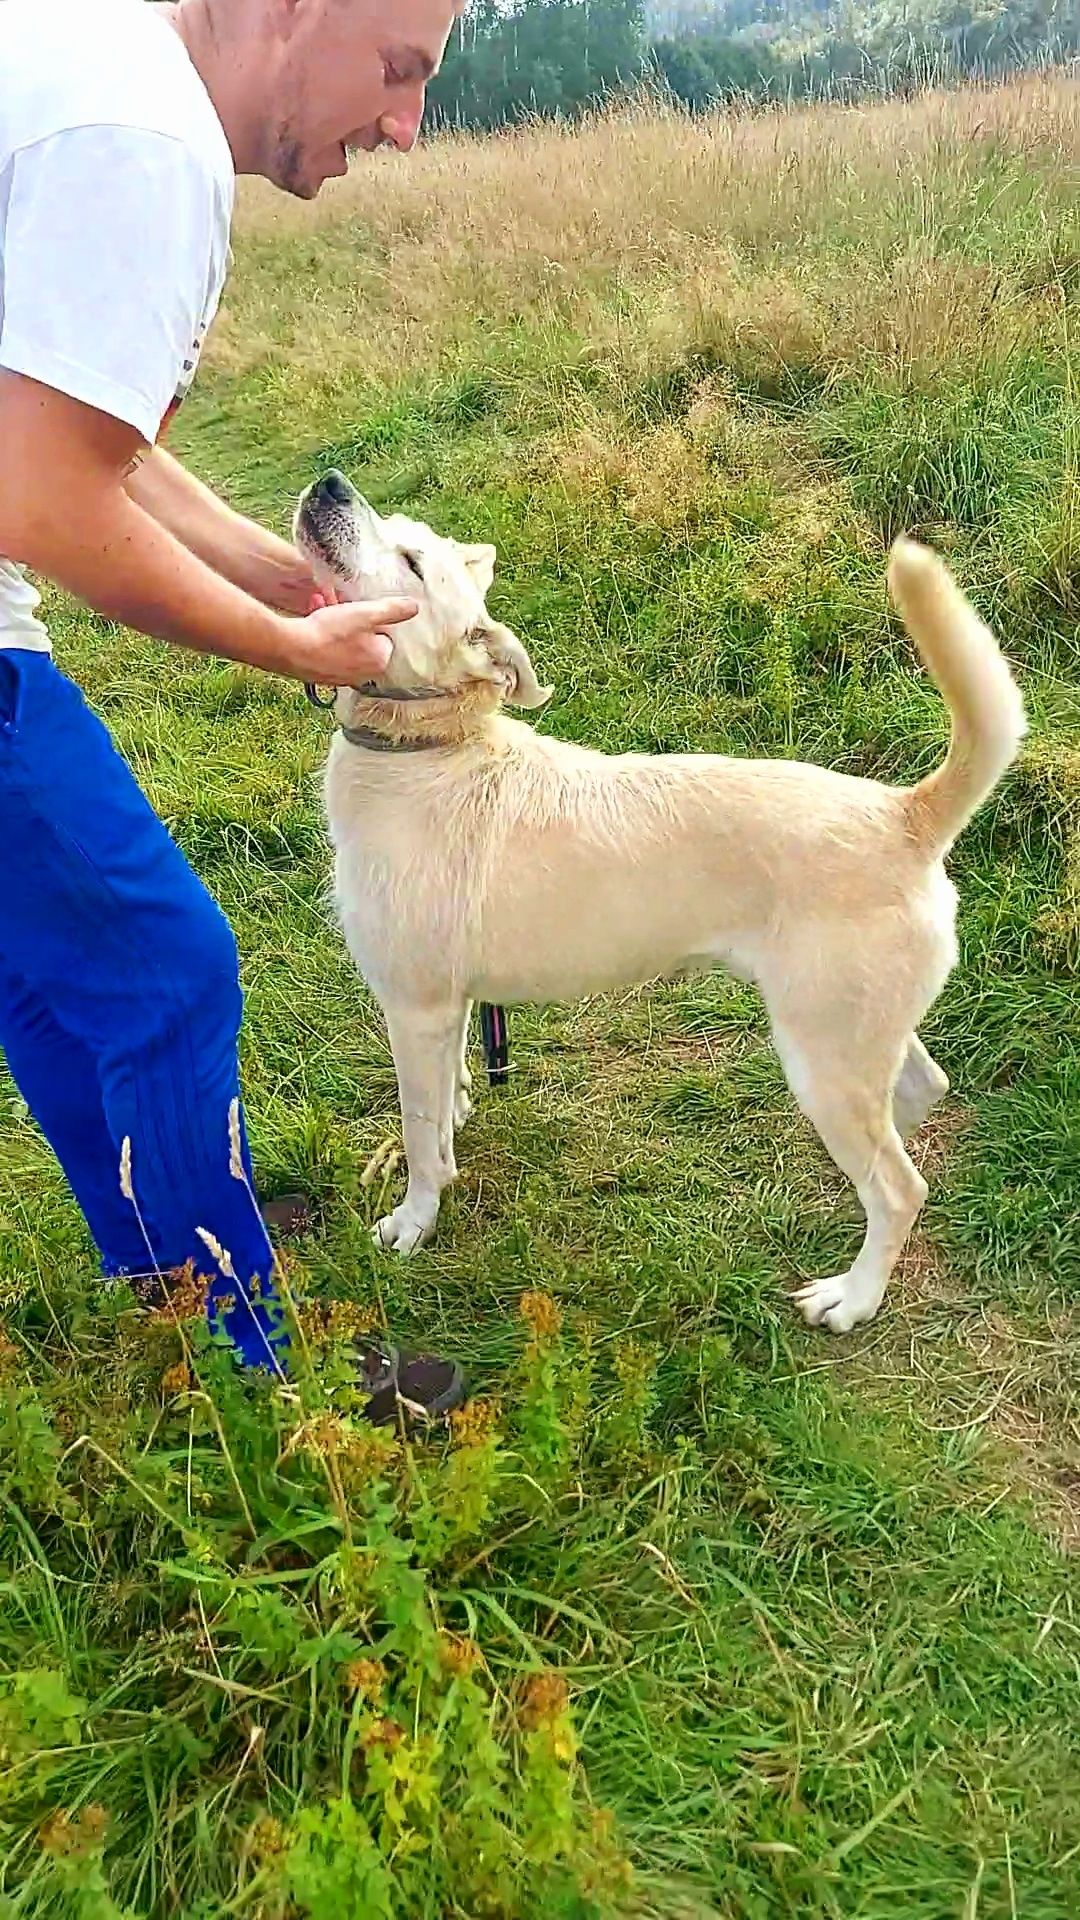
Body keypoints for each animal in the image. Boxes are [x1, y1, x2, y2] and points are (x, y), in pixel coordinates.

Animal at [292, 468, 1014, 1336]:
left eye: (409, 561)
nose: (331, 483)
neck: (430, 743)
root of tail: (903, 813)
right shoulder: (448, 1005)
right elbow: (450, 1093)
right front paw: (458, 1117)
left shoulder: (413, 1006)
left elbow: (419, 1131)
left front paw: (415, 1220)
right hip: (852, 1037)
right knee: (913, 1103)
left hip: (821, 1055)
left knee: (901, 1187)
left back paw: (856, 1294)